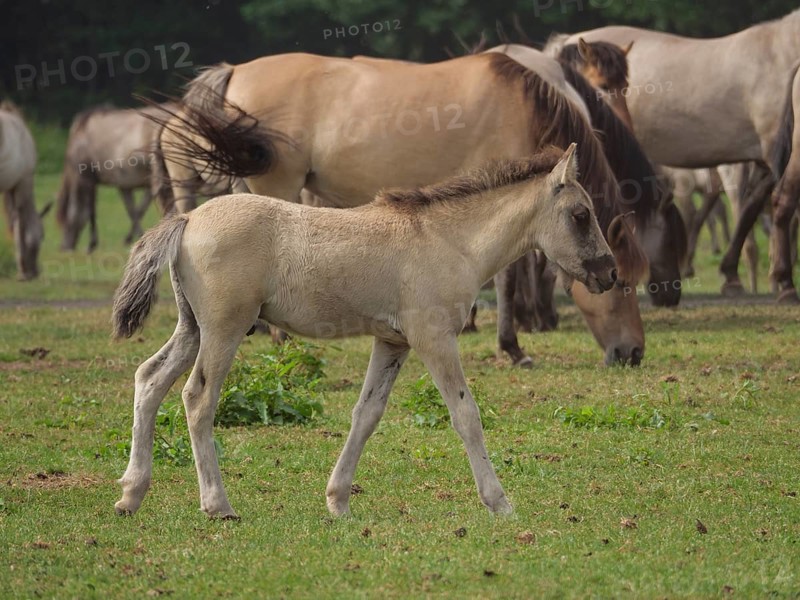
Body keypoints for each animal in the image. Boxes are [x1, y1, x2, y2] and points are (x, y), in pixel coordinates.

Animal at [0, 101, 46, 280]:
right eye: (43, 236)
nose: (36, 272)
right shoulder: (22, 183)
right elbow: (19, 225)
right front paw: (23, 271)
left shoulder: (11, 187)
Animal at [55, 104, 173, 252]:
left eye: (64, 220)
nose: (64, 247)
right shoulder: (122, 185)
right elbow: (133, 210)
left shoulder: (87, 180)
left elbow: (91, 211)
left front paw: (92, 244)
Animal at [111, 145, 619, 519]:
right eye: (581, 214)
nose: (609, 274)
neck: (449, 240)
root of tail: (189, 219)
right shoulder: (434, 339)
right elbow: (466, 415)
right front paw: (500, 503)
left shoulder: (392, 342)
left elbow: (366, 414)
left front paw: (338, 502)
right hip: (225, 328)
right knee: (198, 398)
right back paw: (218, 505)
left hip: (192, 328)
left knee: (149, 379)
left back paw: (131, 494)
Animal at [158, 51, 649, 367]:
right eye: (622, 283)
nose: (634, 353)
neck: (521, 105)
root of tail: (235, 70)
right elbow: (507, 277)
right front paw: (511, 347)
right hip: (277, 183)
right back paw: (281, 341)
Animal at [569, 10, 800, 303]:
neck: (781, 52)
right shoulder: (772, 152)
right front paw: (779, 281)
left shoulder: (761, 160)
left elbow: (749, 210)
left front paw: (734, 275)